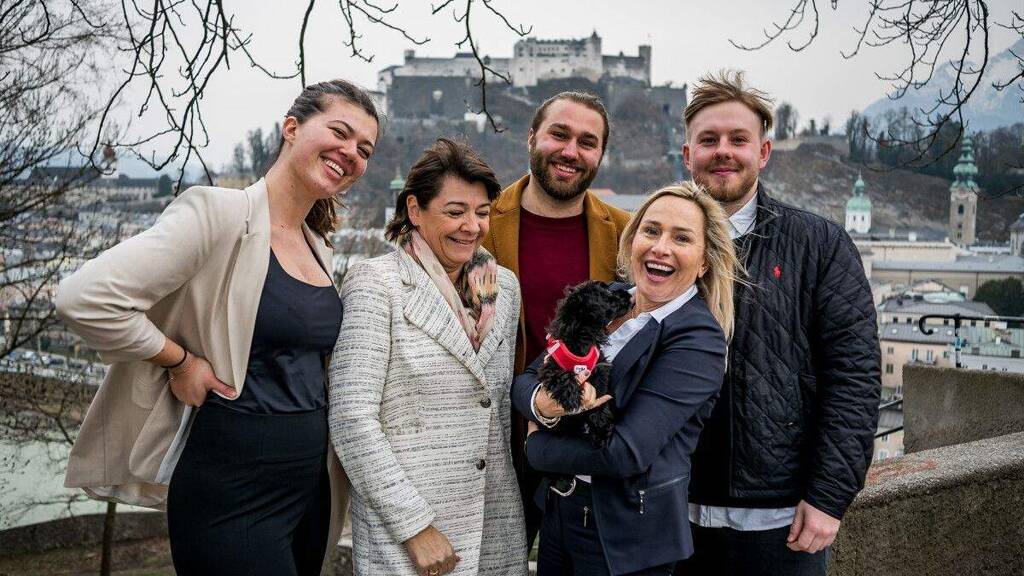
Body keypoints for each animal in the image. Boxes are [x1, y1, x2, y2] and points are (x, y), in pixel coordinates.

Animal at [538, 280, 632, 448]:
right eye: (608, 294)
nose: (629, 295)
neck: (582, 340)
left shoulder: (600, 372)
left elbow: (599, 404)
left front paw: (601, 432)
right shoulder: (549, 366)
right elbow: (561, 376)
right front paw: (571, 397)